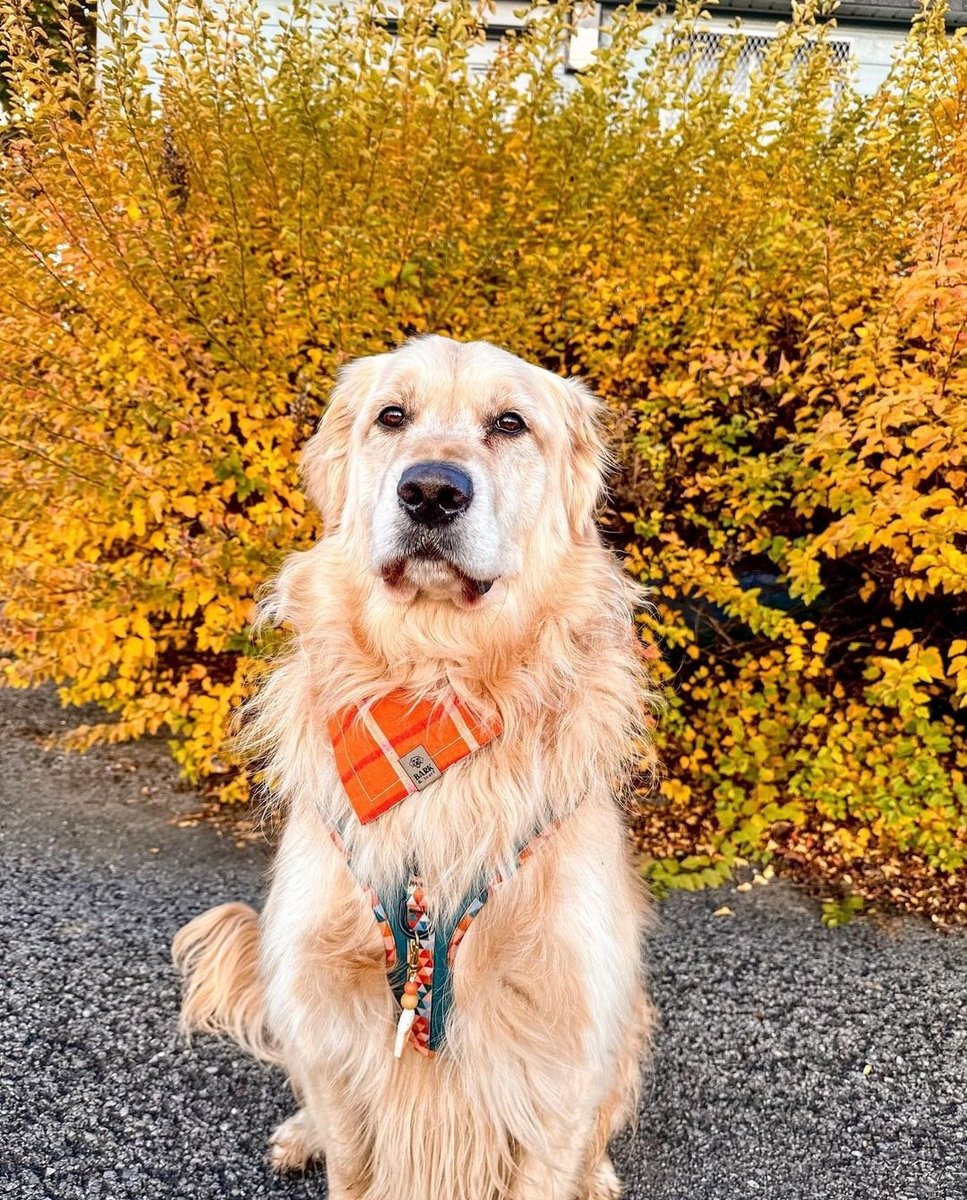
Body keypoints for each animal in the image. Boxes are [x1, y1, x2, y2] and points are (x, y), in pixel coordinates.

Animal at [173, 336, 657, 1200]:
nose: (431, 491)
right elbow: (350, 1158)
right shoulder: (329, 1016)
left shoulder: (563, 1038)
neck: (436, 688)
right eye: (390, 416)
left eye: (510, 423)